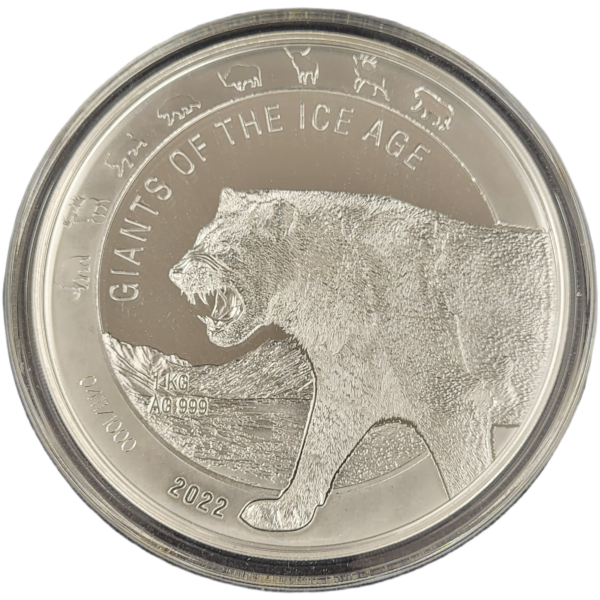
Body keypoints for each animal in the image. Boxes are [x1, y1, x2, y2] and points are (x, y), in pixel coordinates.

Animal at [169, 188, 556, 532]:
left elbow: (466, 474)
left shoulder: (452, 401)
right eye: (198, 239)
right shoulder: (343, 396)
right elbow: (314, 453)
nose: (176, 270)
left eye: (223, 247)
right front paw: (283, 513)